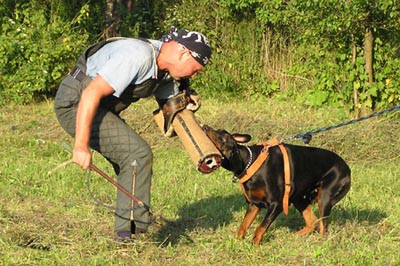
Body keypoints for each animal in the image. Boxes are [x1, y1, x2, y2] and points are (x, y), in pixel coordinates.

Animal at [203, 125, 350, 245]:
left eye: (222, 137)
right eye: (218, 129)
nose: (205, 126)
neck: (249, 162)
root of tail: (348, 169)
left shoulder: (276, 204)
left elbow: (260, 227)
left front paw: (254, 244)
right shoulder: (254, 204)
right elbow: (243, 226)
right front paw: (237, 242)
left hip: (323, 197)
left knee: (323, 227)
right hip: (298, 198)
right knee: (312, 222)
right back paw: (293, 237)